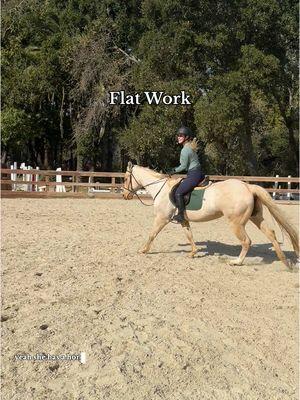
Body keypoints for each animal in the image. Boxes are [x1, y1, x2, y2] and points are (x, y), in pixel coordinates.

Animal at [122, 162, 298, 266]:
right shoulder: (183, 220)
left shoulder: (161, 218)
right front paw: (193, 253)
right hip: (256, 217)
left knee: (246, 241)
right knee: (271, 234)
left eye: (125, 178)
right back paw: (284, 261)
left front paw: (143, 250)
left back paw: (237, 261)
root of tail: (248, 187)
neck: (161, 188)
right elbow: (189, 235)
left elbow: (152, 234)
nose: (124, 195)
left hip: (236, 223)